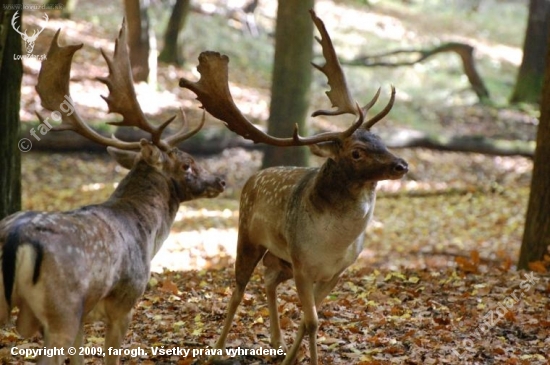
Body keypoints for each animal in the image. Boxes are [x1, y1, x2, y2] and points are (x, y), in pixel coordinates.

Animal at [0, 20, 226, 364]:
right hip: (61, 307)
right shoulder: (124, 302)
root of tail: (16, 236)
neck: (148, 237)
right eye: (187, 164)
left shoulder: (83, 319)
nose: (221, 181)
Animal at [179, 9, 408, 362]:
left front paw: (292, 355)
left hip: (280, 259)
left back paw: (277, 343)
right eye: (356, 152)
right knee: (238, 289)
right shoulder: (302, 264)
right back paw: (217, 349)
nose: (401, 165)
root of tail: (251, 179)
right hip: (248, 237)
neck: (334, 244)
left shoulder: (336, 272)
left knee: (269, 280)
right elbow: (312, 321)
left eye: (380, 140)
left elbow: (307, 319)